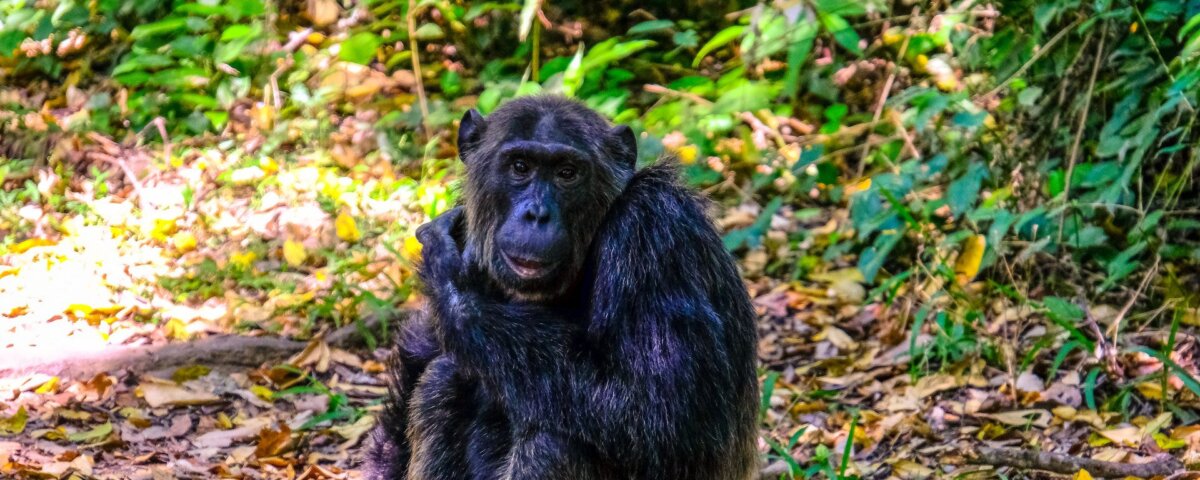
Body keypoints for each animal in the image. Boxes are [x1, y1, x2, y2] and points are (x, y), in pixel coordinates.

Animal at [366, 95, 759, 479]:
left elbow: (665, 409)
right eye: (520, 167)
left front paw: (450, 278)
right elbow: (421, 354)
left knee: (553, 440)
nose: (537, 214)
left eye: (567, 173)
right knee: (442, 382)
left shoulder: (653, 230)